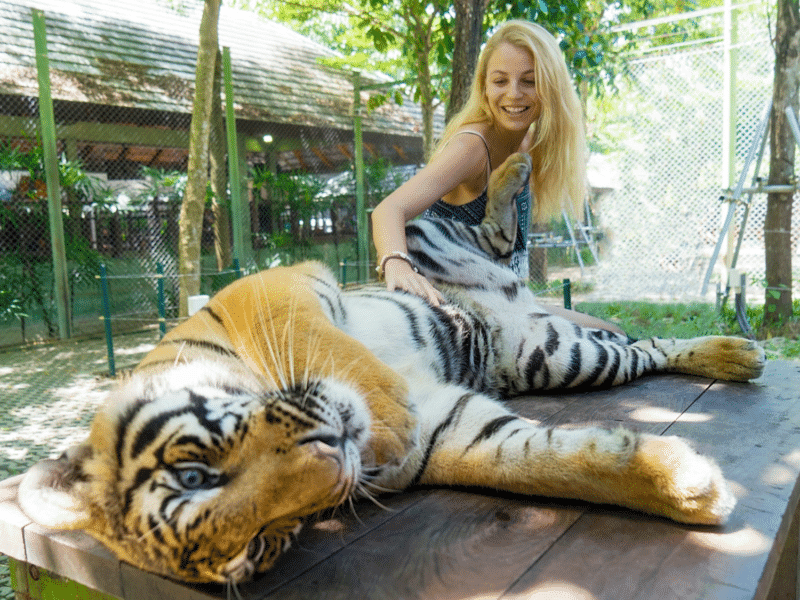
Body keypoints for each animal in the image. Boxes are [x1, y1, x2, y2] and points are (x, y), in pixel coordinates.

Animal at [17, 151, 764, 584]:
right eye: (264, 541)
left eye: (196, 473)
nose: (341, 453)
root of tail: (515, 302)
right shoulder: (452, 430)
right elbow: (547, 462)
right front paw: (688, 488)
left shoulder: (274, 289)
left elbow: (326, 346)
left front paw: (384, 411)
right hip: (557, 355)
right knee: (633, 346)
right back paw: (734, 354)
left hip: (432, 242)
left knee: (482, 228)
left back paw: (513, 165)